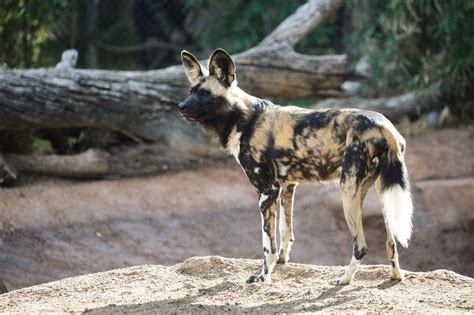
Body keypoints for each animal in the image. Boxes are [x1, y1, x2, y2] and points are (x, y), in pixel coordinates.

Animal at [180, 48, 412, 286]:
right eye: (190, 91)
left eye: (205, 94)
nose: (181, 107)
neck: (245, 119)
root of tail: (383, 124)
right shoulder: (286, 187)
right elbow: (286, 231)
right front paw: (282, 263)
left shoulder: (266, 192)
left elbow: (268, 246)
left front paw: (263, 276)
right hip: (380, 191)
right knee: (391, 242)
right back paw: (395, 276)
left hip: (348, 191)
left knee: (361, 246)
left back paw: (344, 280)